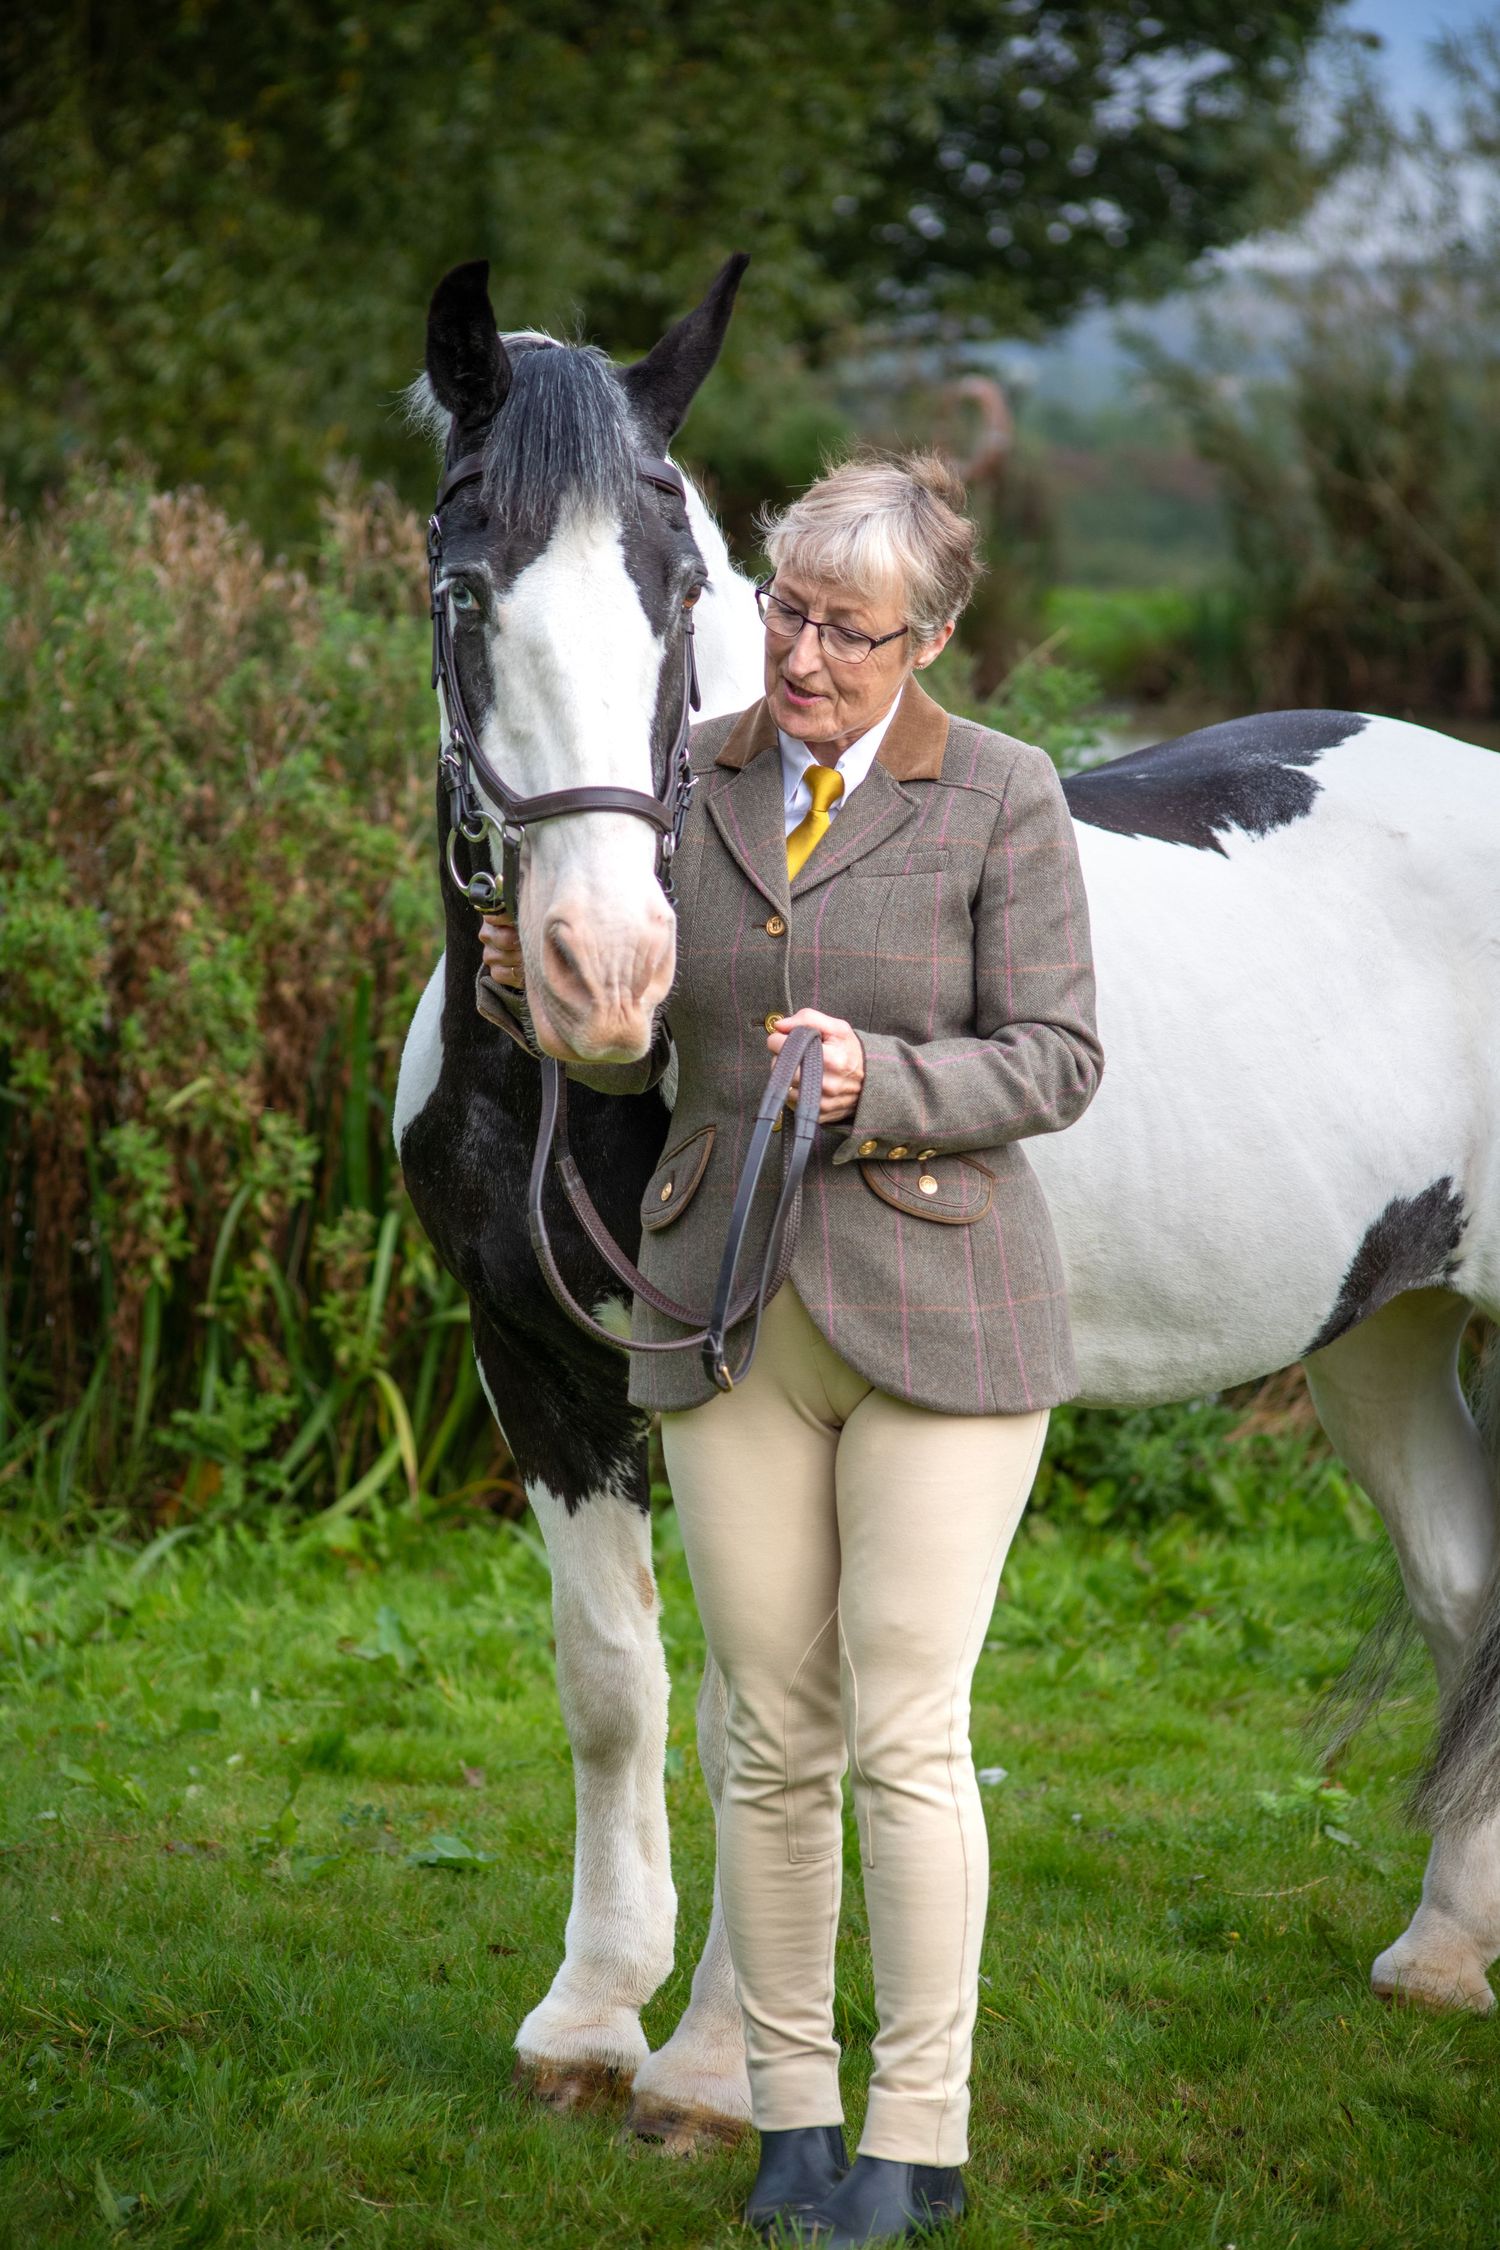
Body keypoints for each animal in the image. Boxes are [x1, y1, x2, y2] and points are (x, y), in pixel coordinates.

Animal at [395, 258, 1500, 2152]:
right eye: (468, 586)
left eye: (684, 589)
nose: (607, 972)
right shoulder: (537, 1365)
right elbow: (614, 1687)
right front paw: (589, 2020)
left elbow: (765, 1710)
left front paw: (710, 2067)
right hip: (1383, 1331)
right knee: (1466, 1589)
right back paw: (1443, 1954)